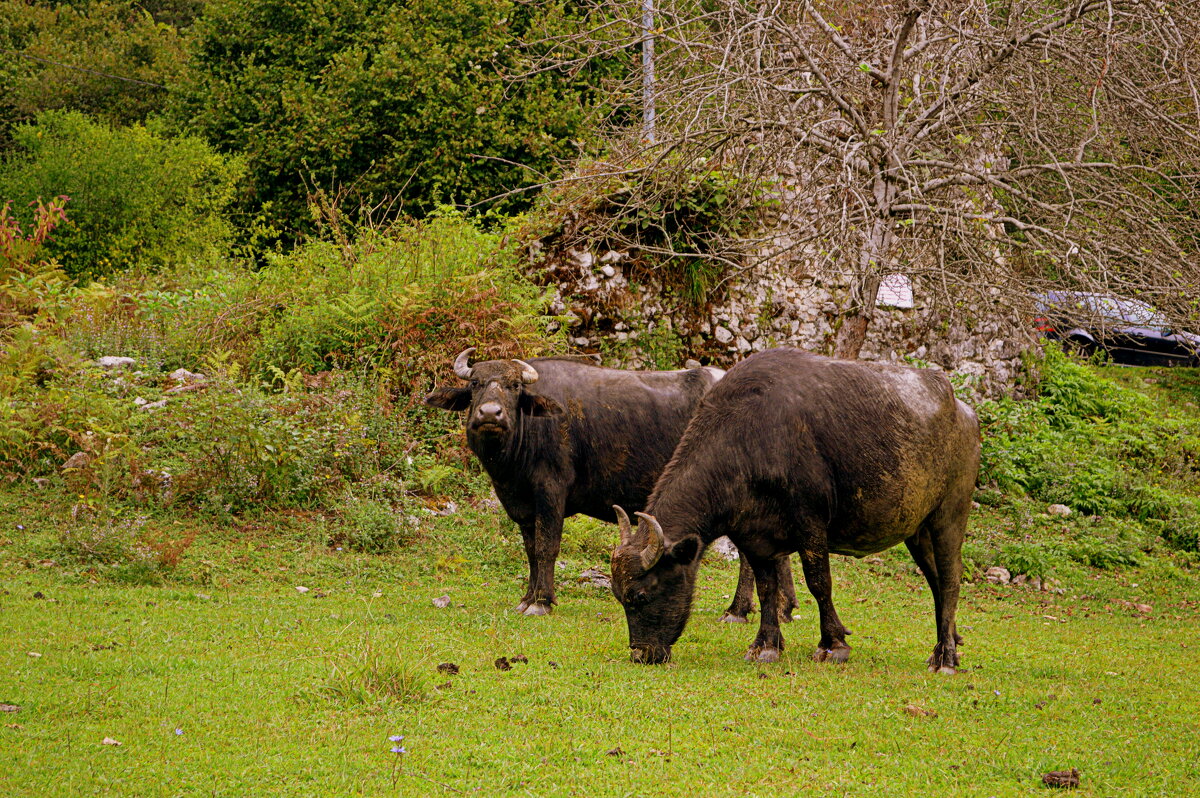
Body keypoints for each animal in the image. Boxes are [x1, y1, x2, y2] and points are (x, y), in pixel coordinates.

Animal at [424, 345, 720, 612]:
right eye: (476, 383)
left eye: (515, 385)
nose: (489, 414)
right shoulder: (524, 505)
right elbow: (531, 550)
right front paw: (527, 599)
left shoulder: (551, 492)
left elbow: (547, 547)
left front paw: (542, 602)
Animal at [614, 348, 979, 672]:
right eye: (620, 597)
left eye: (641, 595)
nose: (642, 654)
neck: (749, 439)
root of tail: (963, 412)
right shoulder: (754, 538)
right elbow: (766, 590)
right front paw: (765, 646)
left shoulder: (810, 524)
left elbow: (819, 582)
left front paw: (833, 645)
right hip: (918, 530)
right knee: (936, 581)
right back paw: (947, 646)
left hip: (949, 515)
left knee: (950, 578)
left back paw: (945, 660)